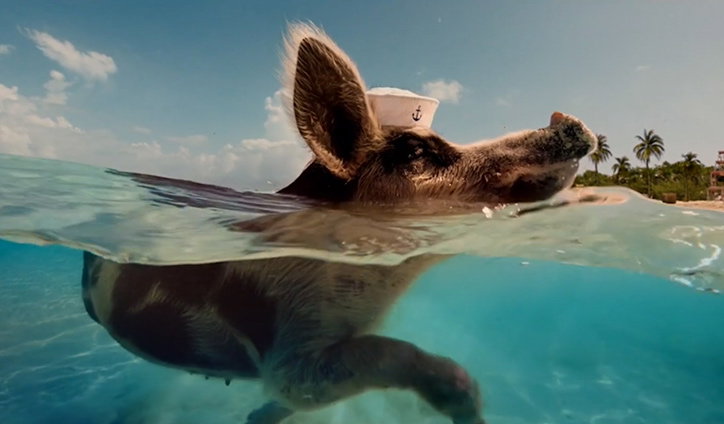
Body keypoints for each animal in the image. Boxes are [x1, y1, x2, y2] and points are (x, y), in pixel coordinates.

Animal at [82, 23, 596, 424]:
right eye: (416, 152)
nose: (566, 119)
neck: (377, 281)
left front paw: (256, 417)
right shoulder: (292, 346)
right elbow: (376, 358)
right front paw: (468, 405)